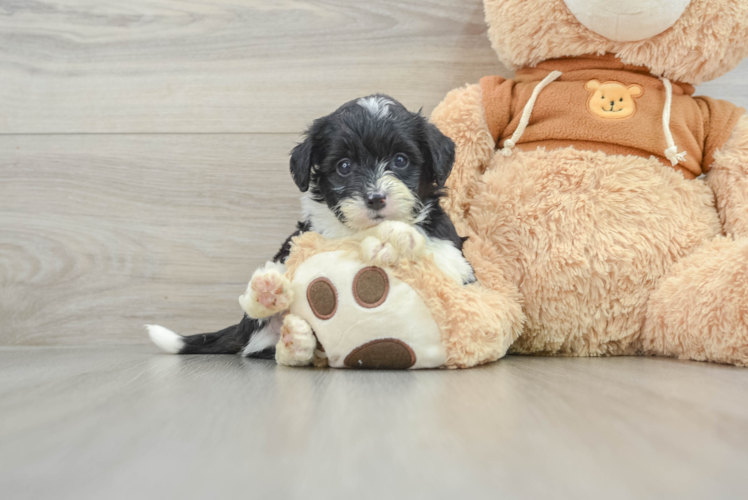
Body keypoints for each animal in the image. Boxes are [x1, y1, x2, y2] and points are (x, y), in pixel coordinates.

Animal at [147, 94, 474, 360]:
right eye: (344, 166)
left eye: (401, 160)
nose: (376, 198)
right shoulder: (310, 233)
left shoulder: (452, 255)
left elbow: (440, 256)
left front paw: (395, 239)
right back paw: (273, 305)